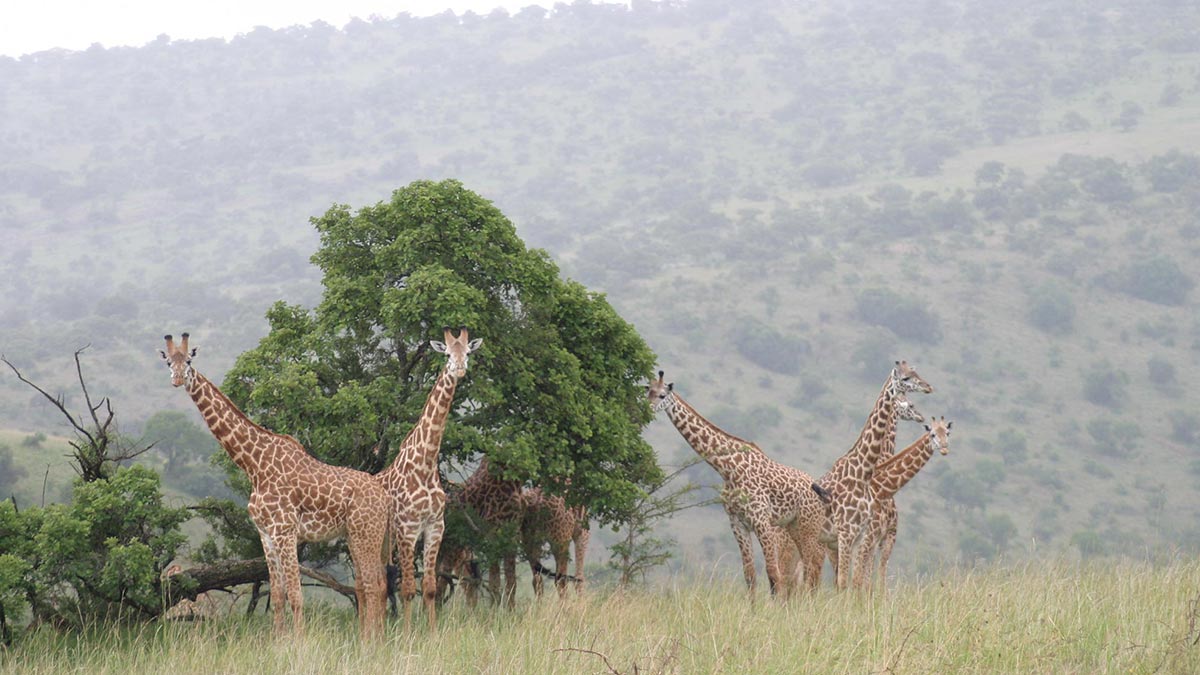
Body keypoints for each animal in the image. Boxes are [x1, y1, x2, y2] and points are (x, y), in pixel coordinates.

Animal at [159, 333, 388, 638]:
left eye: (189, 361)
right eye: (168, 362)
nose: (176, 379)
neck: (254, 465)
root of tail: (384, 495)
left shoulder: (286, 531)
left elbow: (296, 594)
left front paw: (300, 643)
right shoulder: (265, 534)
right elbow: (278, 595)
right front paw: (279, 642)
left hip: (367, 533)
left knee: (375, 585)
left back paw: (372, 642)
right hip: (354, 535)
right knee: (370, 585)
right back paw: (368, 639)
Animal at [374, 326, 477, 629]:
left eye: (468, 352)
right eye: (447, 354)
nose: (460, 369)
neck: (426, 463)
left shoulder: (434, 526)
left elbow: (430, 587)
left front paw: (431, 632)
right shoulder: (407, 529)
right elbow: (409, 588)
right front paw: (408, 634)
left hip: (384, 543)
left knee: (380, 583)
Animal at [652, 367, 830, 593]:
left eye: (662, 395)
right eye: (647, 389)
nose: (648, 407)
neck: (728, 469)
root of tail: (819, 489)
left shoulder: (762, 521)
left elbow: (773, 575)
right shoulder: (737, 522)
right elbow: (750, 575)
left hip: (809, 527)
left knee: (810, 571)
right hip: (795, 526)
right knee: (808, 572)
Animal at [816, 360, 936, 586]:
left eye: (915, 372)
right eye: (905, 378)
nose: (929, 387)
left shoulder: (863, 536)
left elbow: (861, 580)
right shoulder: (861, 535)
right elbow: (856, 580)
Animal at [859, 413, 950, 590]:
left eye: (948, 433)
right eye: (932, 434)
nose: (944, 448)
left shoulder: (877, 538)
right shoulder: (885, 534)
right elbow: (877, 569)